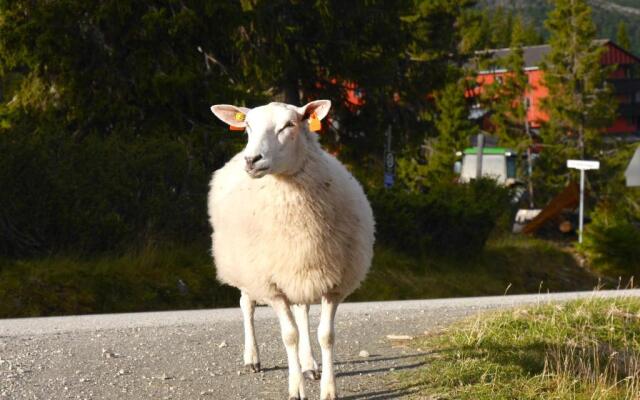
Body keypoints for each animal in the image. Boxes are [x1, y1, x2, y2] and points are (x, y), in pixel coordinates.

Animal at [208, 101, 376, 400]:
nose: (252, 160)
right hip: (246, 268)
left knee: (302, 312)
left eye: (289, 125)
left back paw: (309, 364)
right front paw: (295, 388)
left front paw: (328, 389)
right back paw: (253, 358)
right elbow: (289, 336)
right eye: (247, 126)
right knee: (247, 305)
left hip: (300, 270)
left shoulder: (332, 282)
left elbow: (325, 335)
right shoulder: (272, 285)